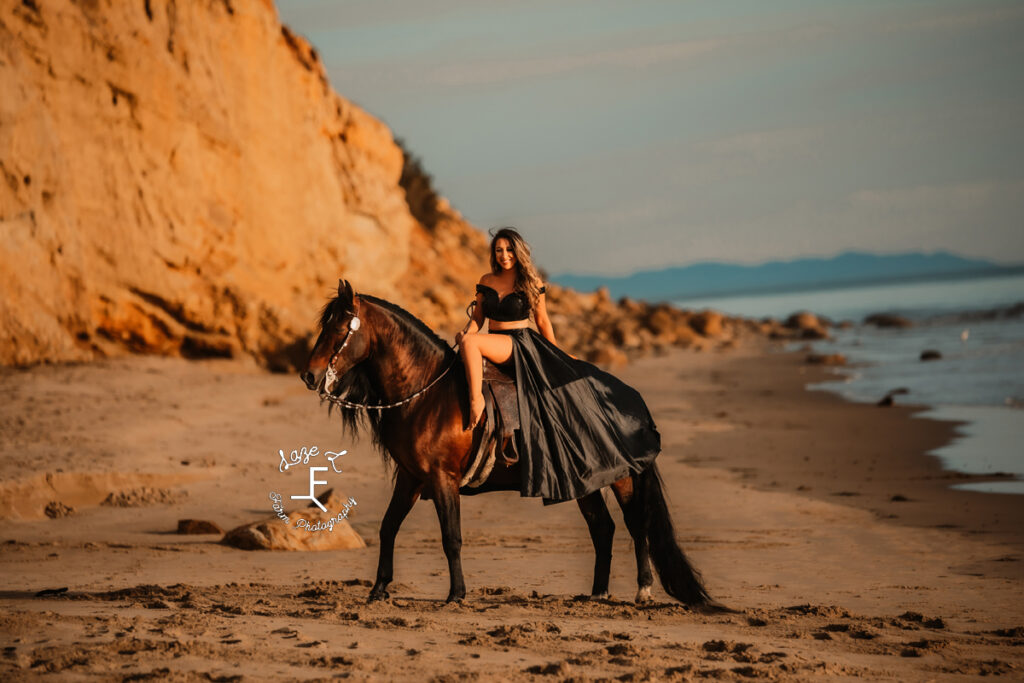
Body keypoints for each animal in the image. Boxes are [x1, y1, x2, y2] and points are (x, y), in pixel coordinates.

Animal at [299, 280, 708, 606]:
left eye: (340, 328)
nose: (309, 375)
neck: (427, 393)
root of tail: (632, 398)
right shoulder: (411, 477)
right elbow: (388, 527)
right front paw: (379, 588)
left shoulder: (442, 478)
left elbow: (451, 537)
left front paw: (456, 594)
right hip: (586, 481)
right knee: (603, 528)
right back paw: (597, 593)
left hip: (622, 478)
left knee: (636, 524)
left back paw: (642, 589)